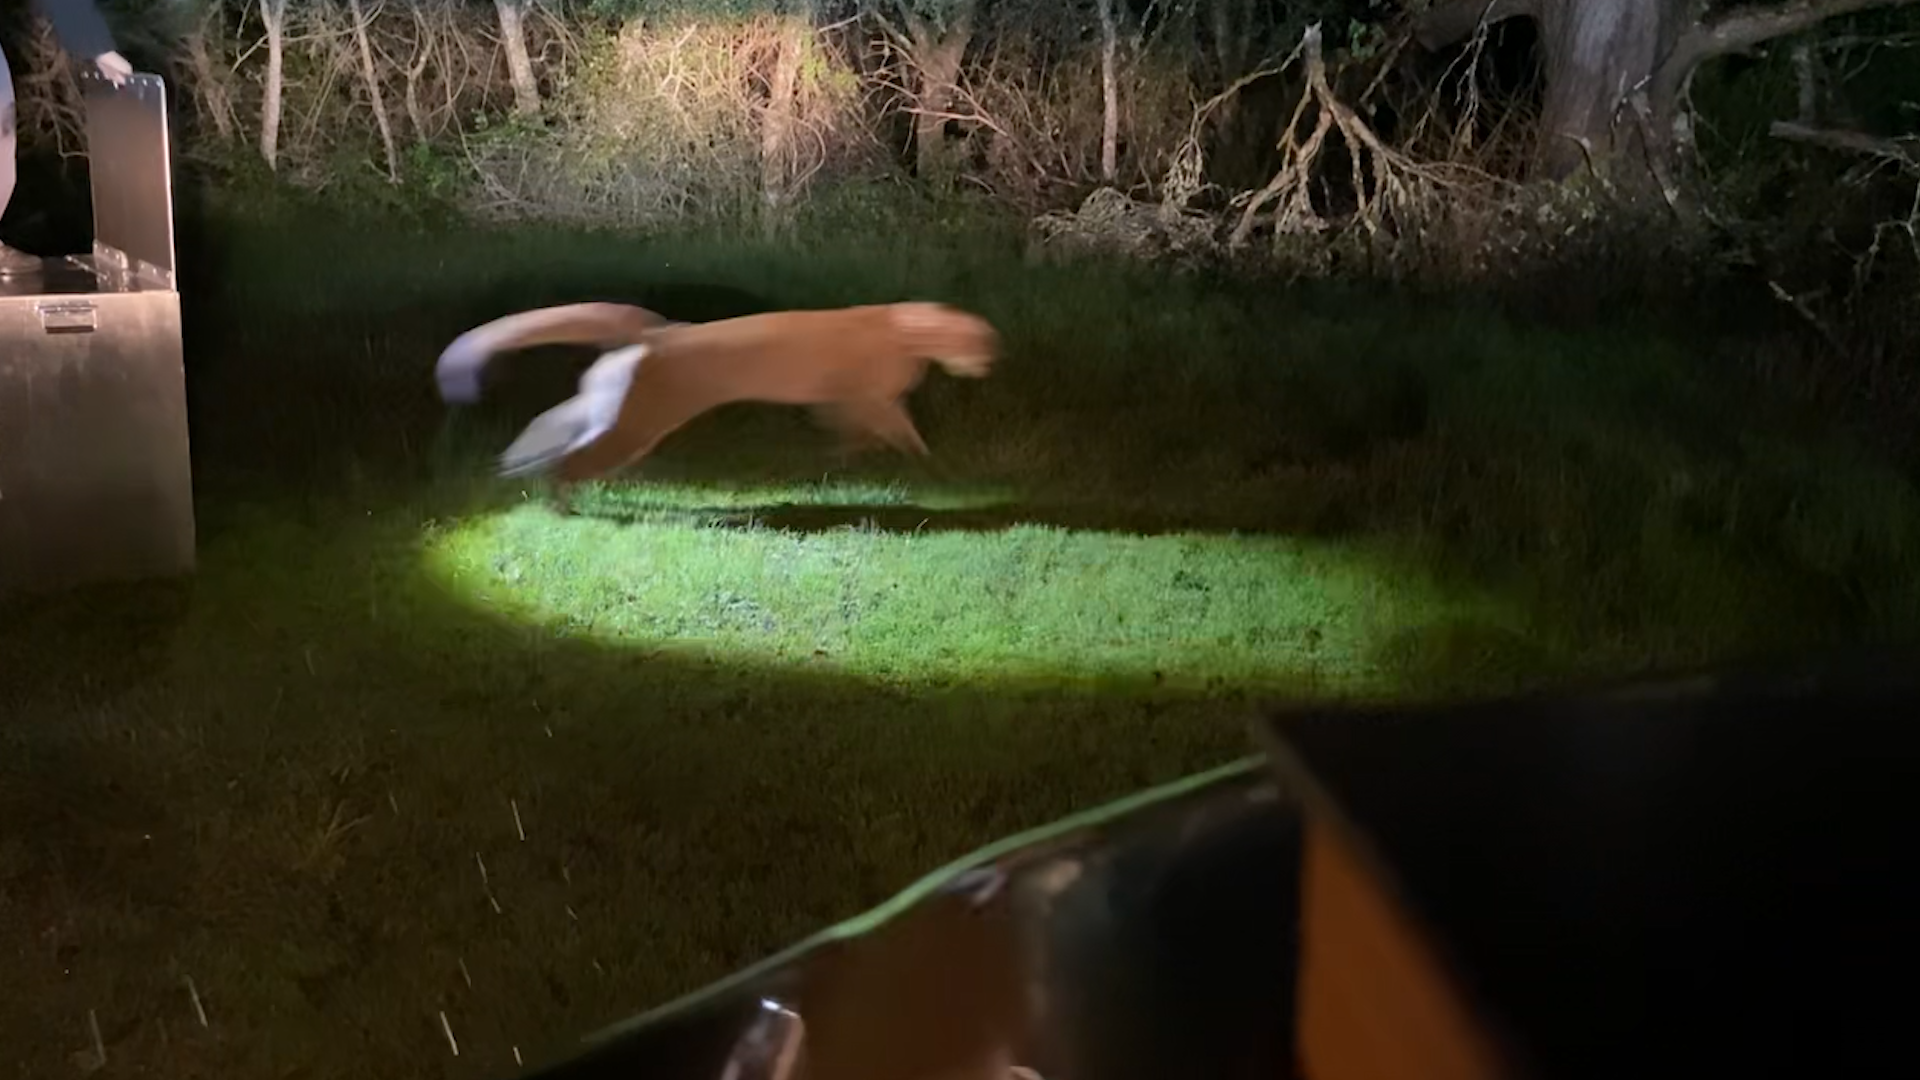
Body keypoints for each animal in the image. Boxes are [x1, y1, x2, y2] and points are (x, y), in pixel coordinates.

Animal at [434, 300, 1000, 501]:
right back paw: (558, 500)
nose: (990, 364)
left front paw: (842, 465)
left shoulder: (852, 403)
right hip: (637, 424)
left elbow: (854, 437)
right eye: (981, 344)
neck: (907, 330)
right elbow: (907, 438)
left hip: (608, 409)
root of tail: (662, 330)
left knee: (551, 427)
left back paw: (517, 471)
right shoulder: (872, 401)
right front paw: (939, 473)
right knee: (571, 459)